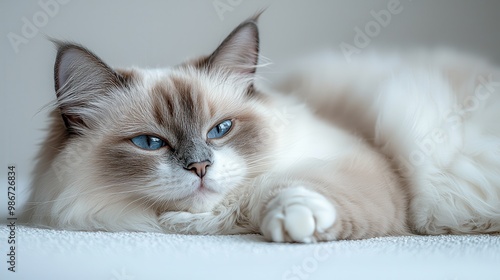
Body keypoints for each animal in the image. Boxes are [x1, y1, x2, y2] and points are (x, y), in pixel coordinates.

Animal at [24, 15, 500, 242]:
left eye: (220, 130)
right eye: (149, 142)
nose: (200, 167)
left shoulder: (365, 161)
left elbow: (275, 187)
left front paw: (293, 222)